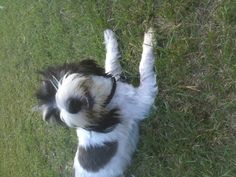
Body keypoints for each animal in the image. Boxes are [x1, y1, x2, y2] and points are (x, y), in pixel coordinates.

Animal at [36, 28, 158, 176]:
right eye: (60, 116)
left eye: (56, 85)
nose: (71, 106)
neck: (105, 100)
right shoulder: (142, 98)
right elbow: (144, 67)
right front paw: (149, 40)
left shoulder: (113, 78)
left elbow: (111, 62)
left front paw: (110, 38)